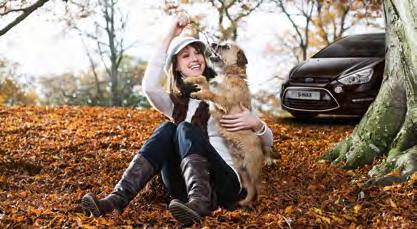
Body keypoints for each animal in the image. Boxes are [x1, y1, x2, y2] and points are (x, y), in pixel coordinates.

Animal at [183, 42, 262, 206]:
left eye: (226, 46)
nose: (213, 43)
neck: (229, 74)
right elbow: (203, 79)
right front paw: (190, 80)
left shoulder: (224, 101)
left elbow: (211, 93)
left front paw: (198, 93)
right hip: (242, 170)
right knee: (251, 189)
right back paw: (244, 203)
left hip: (251, 168)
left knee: (258, 187)